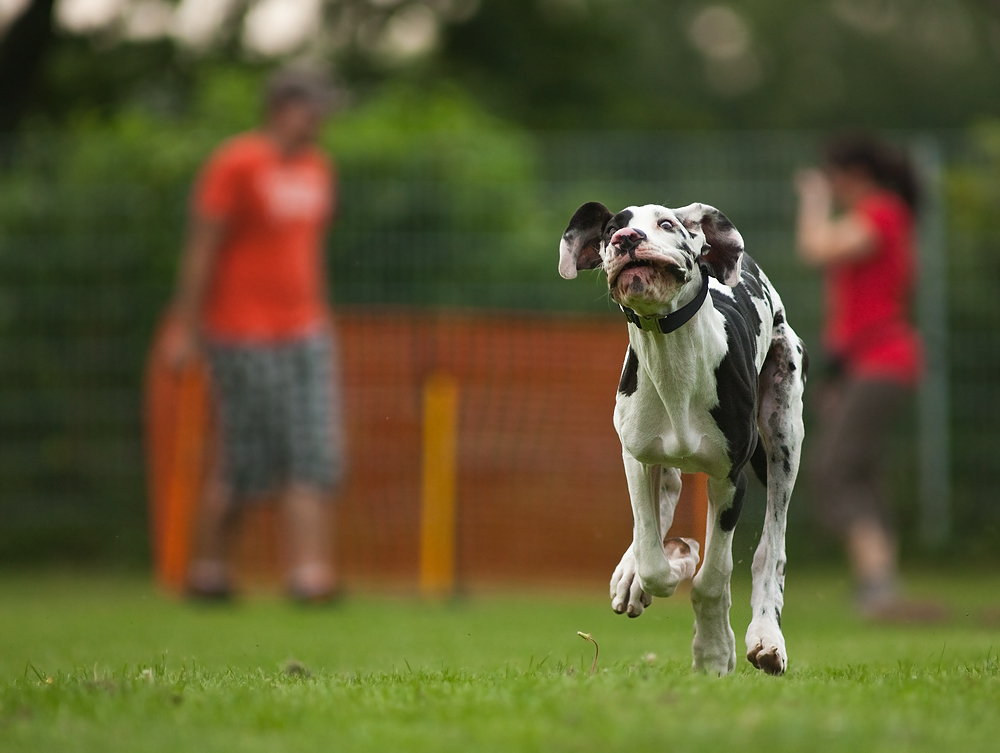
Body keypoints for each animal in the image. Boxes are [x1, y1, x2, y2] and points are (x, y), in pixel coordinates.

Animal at [560, 201, 808, 676]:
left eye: (666, 224)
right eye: (611, 229)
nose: (626, 240)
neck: (671, 357)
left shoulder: (730, 479)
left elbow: (713, 578)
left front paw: (713, 651)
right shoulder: (636, 459)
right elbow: (652, 557)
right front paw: (673, 560)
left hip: (785, 434)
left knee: (773, 549)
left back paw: (767, 636)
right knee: (667, 492)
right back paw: (634, 572)